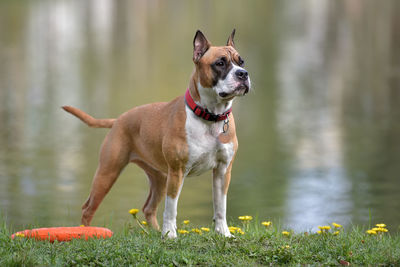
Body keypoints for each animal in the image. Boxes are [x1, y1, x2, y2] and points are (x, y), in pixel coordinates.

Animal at [62, 29, 250, 239]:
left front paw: (223, 233)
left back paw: (155, 232)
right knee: (88, 208)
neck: (211, 117)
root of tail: (118, 119)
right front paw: (170, 235)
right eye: (220, 63)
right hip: (108, 173)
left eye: (241, 62)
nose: (243, 73)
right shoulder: (177, 172)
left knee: (149, 208)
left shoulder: (222, 171)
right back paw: (85, 233)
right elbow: (171, 208)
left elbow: (220, 206)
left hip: (159, 178)